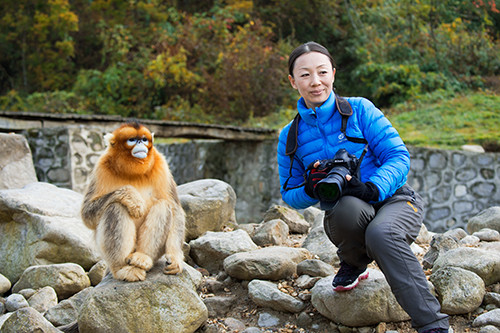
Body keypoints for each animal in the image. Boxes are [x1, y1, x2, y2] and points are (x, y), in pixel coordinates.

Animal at [81, 120, 186, 282]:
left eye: (143, 139)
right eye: (132, 140)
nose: (140, 144)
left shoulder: (161, 164)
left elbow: (175, 208)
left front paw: (175, 257)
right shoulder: (101, 167)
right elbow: (87, 214)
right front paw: (132, 197)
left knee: (164, 205)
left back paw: (142, 257)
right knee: (115, 206)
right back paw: (123, 269)